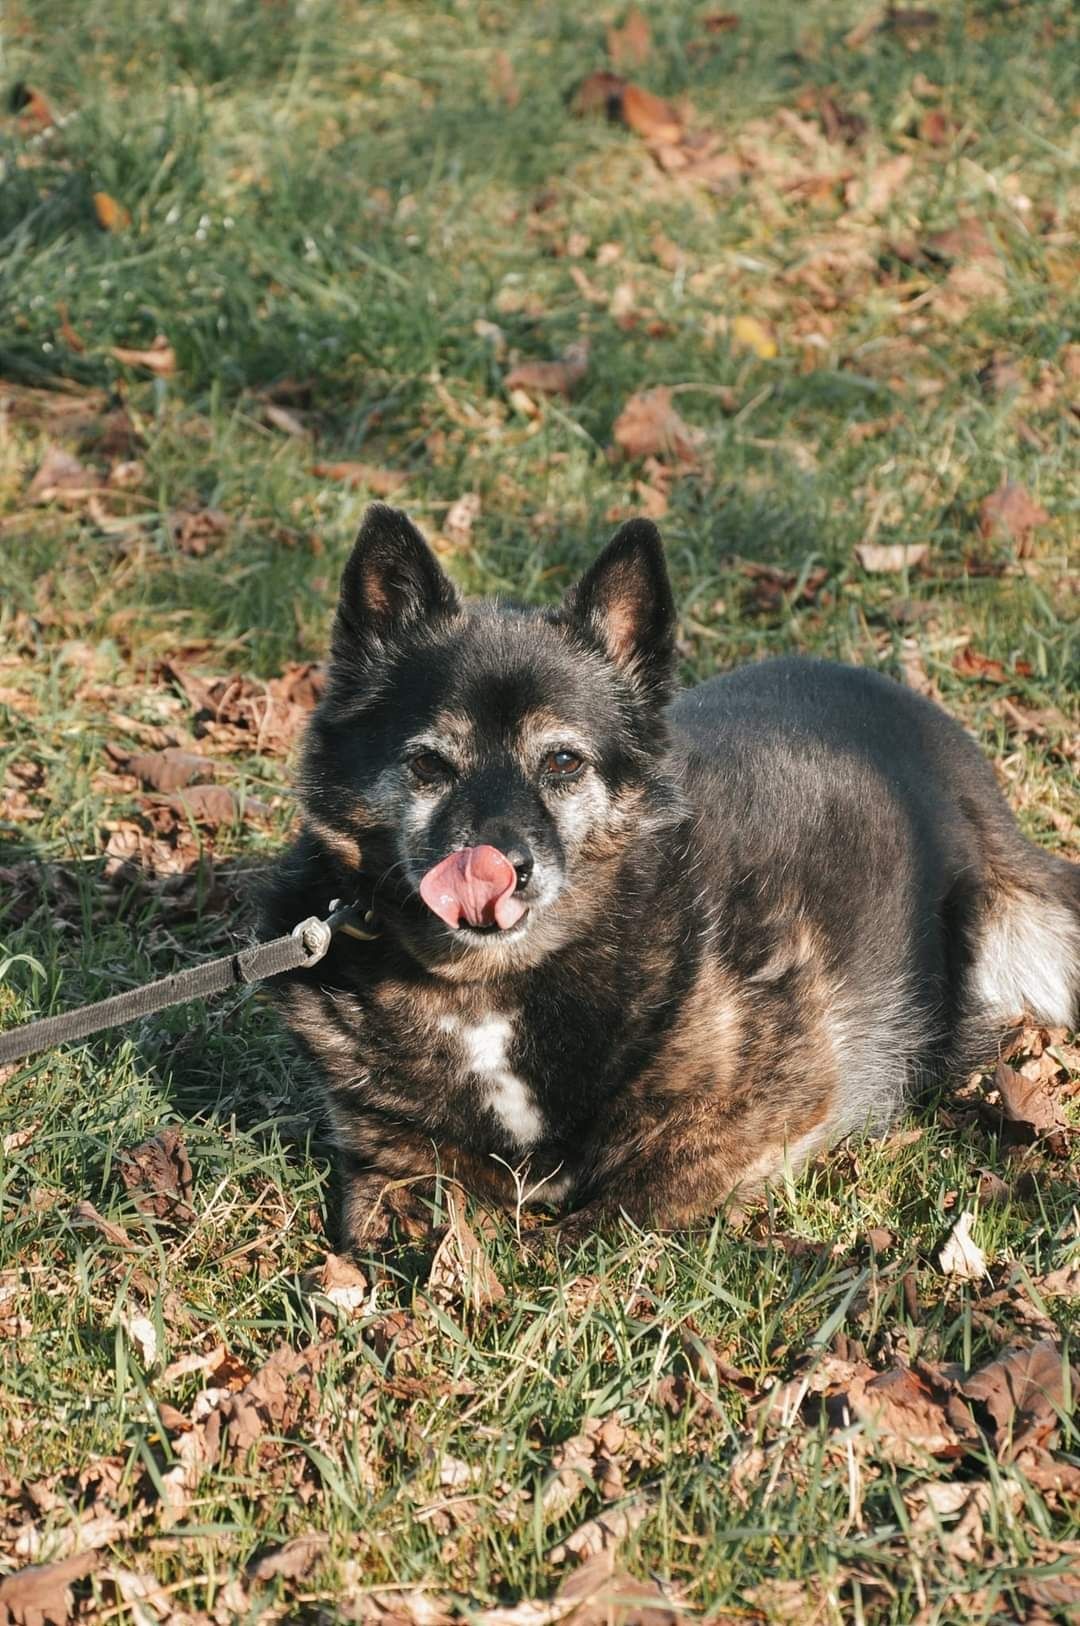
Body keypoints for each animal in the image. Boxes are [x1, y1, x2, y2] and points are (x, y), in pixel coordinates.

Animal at [261, 504, 1080, 1242]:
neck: (491, 986)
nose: (498, 872)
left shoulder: (764, 1112)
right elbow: (380, 1224)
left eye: (563, 762)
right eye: (430, 765)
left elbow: (606, 1219)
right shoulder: (383, 1165)